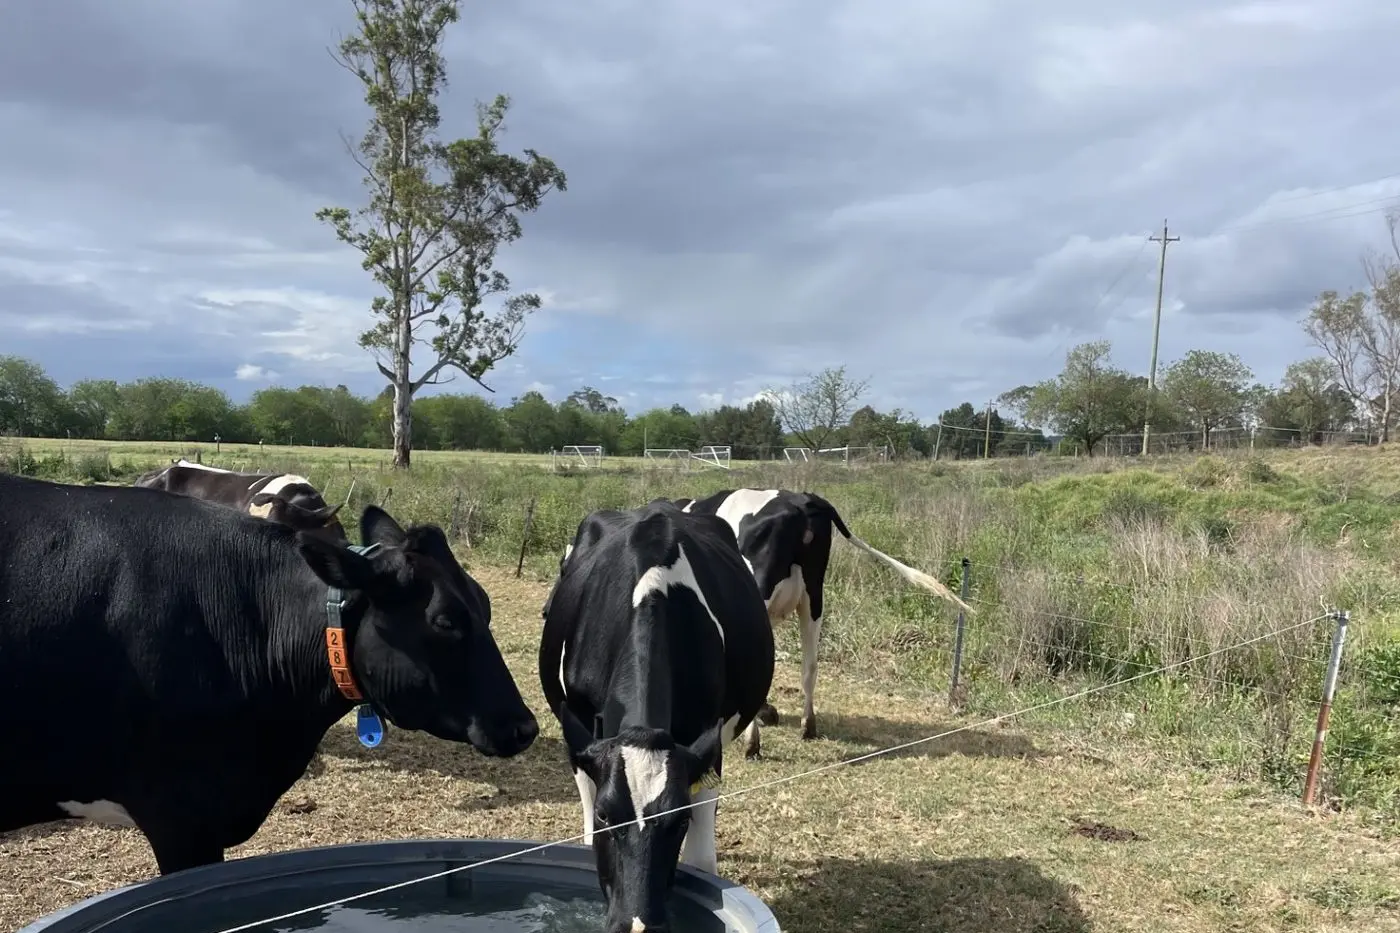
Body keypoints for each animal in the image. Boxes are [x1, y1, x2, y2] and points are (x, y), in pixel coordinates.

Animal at [538, 499, 774, 933]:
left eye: (679, 821)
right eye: (607, 816)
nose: (637, 924)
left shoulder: (707, 746)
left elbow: (703, 861)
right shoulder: (581, 739)